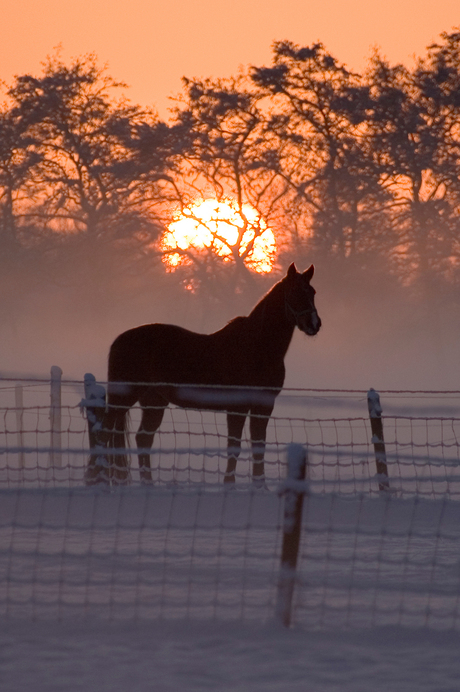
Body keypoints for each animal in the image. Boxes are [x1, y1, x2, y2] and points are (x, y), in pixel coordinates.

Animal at [86, 264, 322, 486]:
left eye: (312, 292)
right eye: (294, 292)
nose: (314, 324)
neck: (256, 347)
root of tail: (119, 340)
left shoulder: (263, 406)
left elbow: (258, 446)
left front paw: (260, 488)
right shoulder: (238, 406)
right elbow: (234, 447)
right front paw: (229, 486)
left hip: (154, 402)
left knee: (143, 439)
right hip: (123, 399)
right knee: (104, 434)